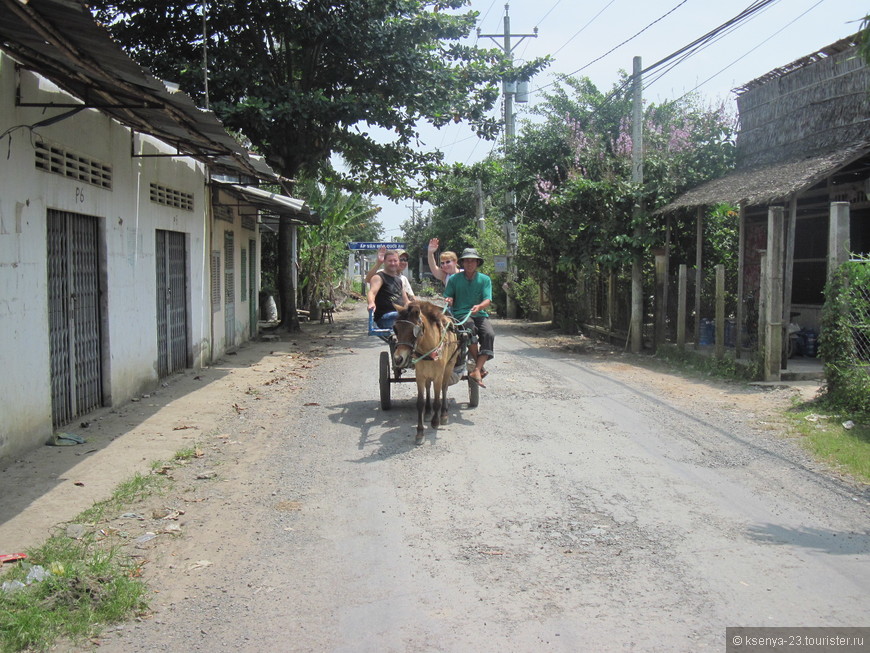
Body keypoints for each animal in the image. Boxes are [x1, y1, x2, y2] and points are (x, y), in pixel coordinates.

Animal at [396, 300, 464, 444]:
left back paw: (443, 414)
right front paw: (420, 432)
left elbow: (438, 398)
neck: (429, 349)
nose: (398, 359)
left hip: (449, 366)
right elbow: (420, 402)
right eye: (396, 328)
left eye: (413, 331)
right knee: (428, 387)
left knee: (444, 388)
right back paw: (428, 412)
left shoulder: (439, 375)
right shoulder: (420, 376)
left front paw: (436, 421)